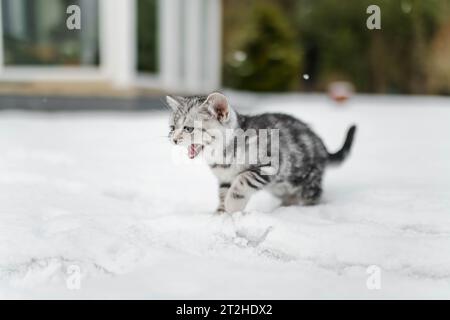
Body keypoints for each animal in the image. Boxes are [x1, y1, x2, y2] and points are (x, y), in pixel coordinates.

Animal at [167, 91, 356, 214]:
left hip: (307, 181)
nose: (174, 139)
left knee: (313, 195)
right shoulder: (225, 178)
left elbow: (243, 180)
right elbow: (223, 192)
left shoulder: (272, 163)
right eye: (172, 128)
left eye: (188, 128)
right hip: (281, 187)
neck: (222, 156)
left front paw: (232, 206)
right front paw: (220, 214)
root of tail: (321, 146)